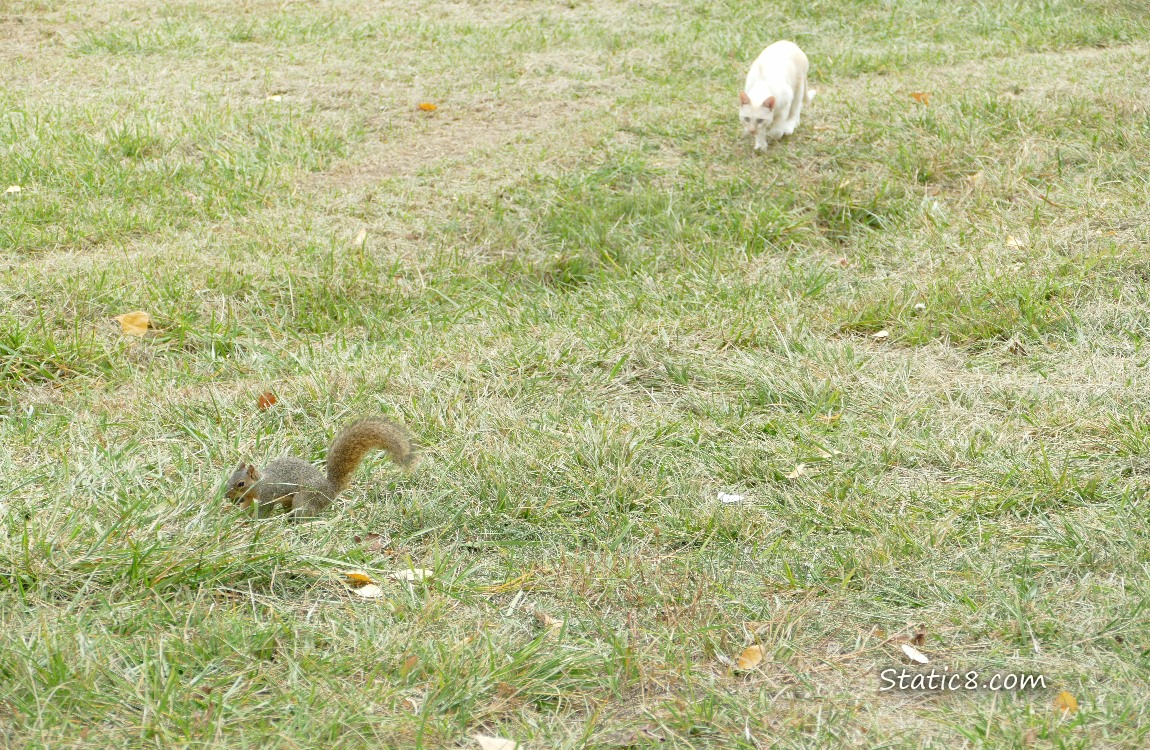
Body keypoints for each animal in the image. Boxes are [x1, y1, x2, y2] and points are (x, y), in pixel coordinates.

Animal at [225, 418, 418, 517]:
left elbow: (264, 510)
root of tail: (329, 490)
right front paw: (239, 516)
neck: (259, 484)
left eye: (241, 483)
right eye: (229, 479)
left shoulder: (268, 495)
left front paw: (254, 521)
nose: (227, 496)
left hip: (304, 499)